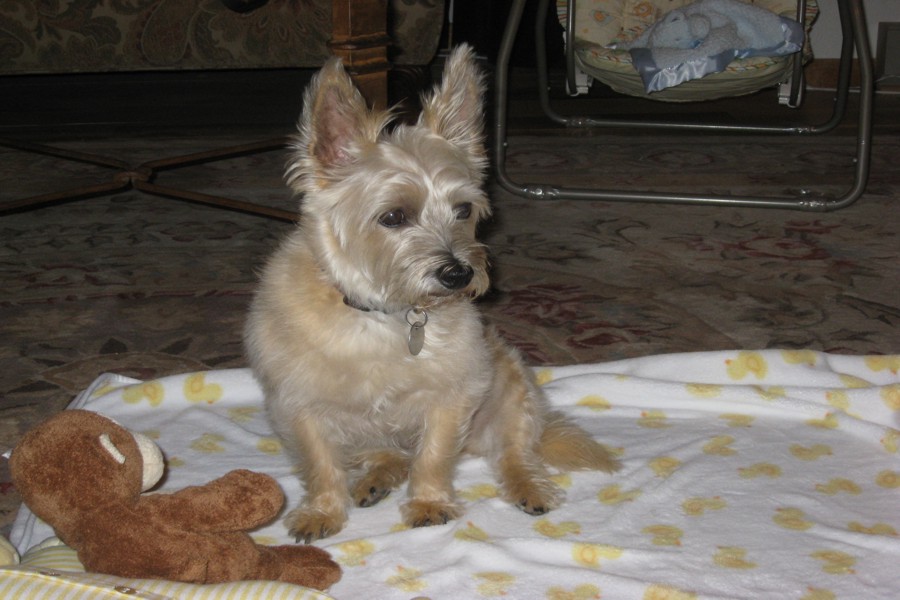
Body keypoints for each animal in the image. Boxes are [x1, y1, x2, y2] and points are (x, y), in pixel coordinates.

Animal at [244, 45, 620, 544]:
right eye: (393, 217)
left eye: (463, 210)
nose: (459, 274)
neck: (384, 315)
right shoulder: (299, 406)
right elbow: (319, 464)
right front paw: (322, 511)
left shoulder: (452, 396)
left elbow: (434, 457)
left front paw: (428, 503)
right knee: (388, 455)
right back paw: (375, 478)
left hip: (510, 392)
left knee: (514, 451)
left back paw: (527, 487)